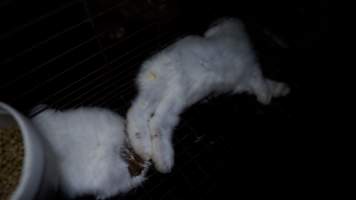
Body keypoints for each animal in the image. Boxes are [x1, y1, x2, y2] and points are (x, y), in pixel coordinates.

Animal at [126, 17, 290, 173]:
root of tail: (153, 70)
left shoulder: (243, 82)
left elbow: (265, 83)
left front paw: (283, 89)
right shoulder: (251, 68)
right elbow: (261, 82)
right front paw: (266, 98)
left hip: (158, 93)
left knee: (137, 112)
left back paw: (144, 149)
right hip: (175, 95)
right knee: (157, 122)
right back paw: (164, 162)